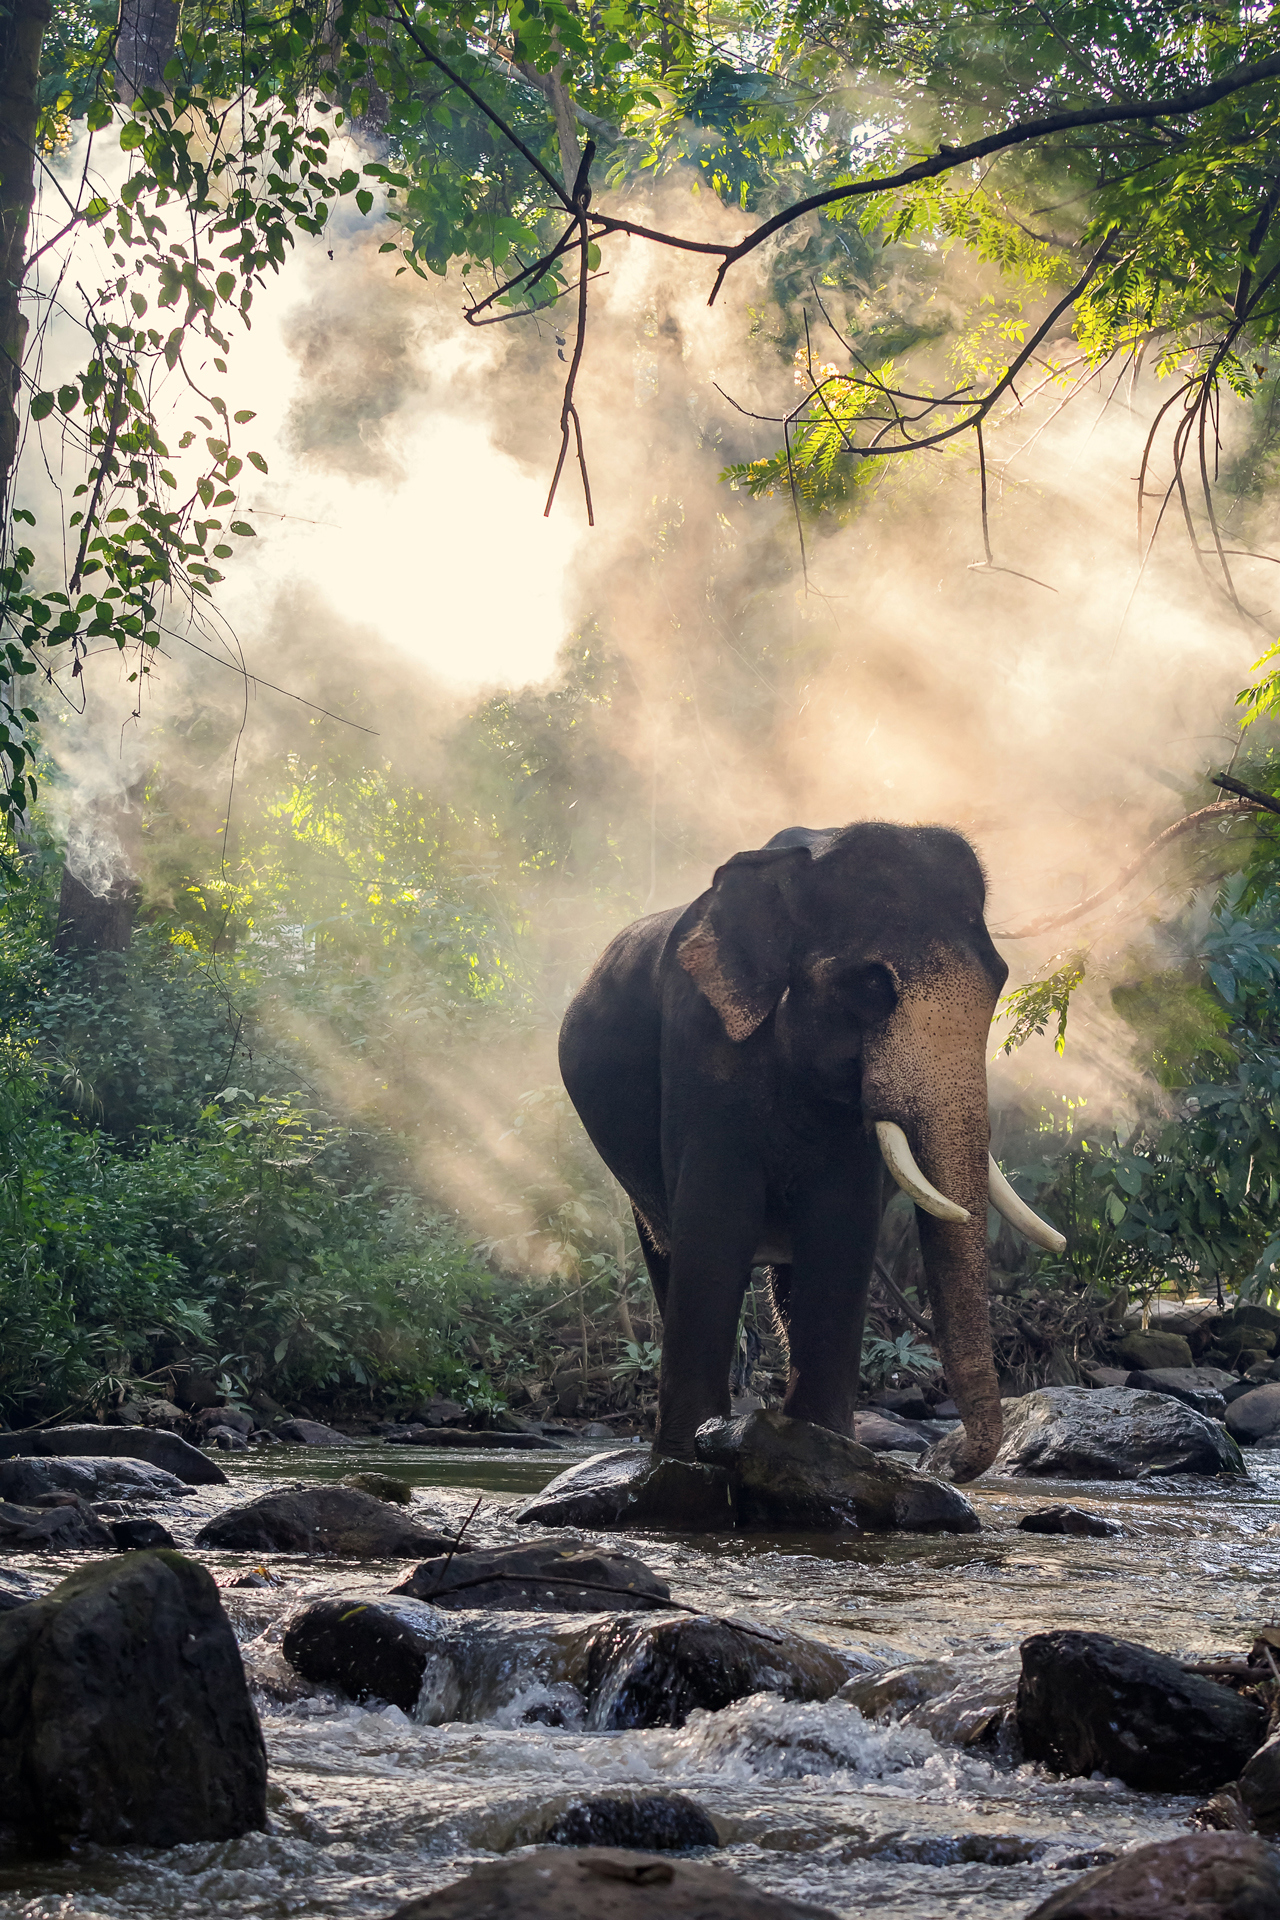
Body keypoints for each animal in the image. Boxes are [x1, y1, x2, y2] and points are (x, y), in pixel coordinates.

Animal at [557, 820, 1064, 1483]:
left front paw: (823, 1448)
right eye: (872, 983)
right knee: (666, 1248)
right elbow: (716, 1223)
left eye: (1001, 977)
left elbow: (840, 1226)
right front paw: (685, 1463)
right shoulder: (701, 1049)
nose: (943, 1459)